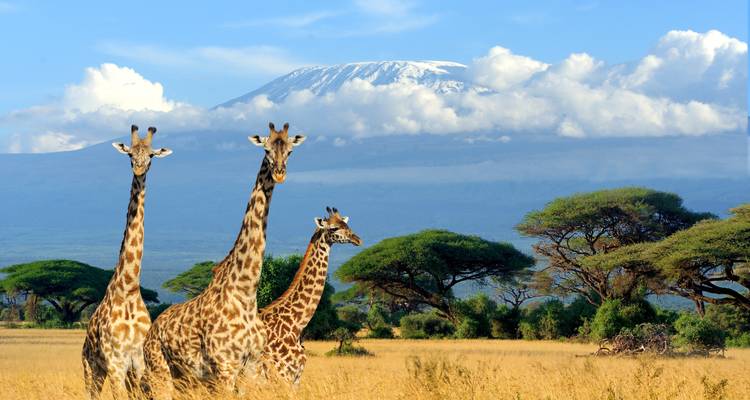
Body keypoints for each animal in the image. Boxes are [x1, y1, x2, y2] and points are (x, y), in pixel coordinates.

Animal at [82, 125, 172, 400]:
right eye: (130, 154)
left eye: (151, 155)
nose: (139, 169)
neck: (129, 288)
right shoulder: (115, 363)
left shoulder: (139, 363)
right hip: (91, 368)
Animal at [142, 122, 305, 398]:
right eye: (266, 149)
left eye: (290, 151)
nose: (280, 173)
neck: (246, 293)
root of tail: (152, 330)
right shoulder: (225, 367)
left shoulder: (251, 366)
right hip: (159, 370)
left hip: (185, 377)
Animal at [256, 207, 362, 386]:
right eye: (333, 228)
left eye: (346, 224)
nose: (357, 239)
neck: (296, 324)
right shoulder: (284, 373)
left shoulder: (295, 377)